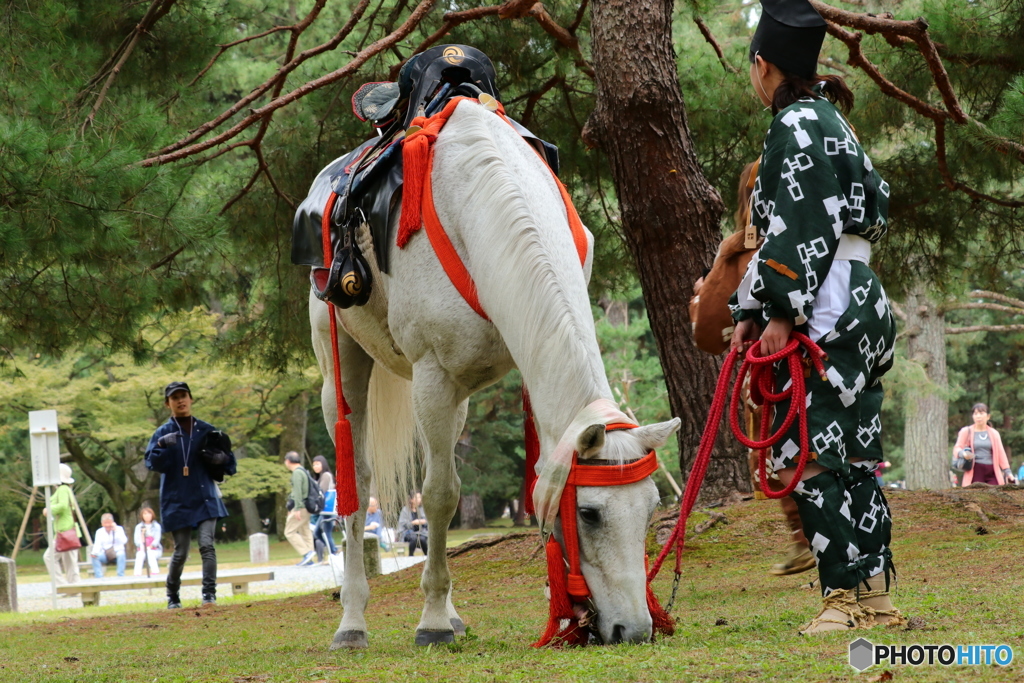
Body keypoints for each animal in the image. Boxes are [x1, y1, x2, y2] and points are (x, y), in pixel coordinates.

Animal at [311, 98, 679, 651]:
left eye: (653, 506)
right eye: (589, 513)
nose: (634, 630)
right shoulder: (432, 374)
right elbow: (440, 495)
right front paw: (432, 622)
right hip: (341, 359)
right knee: (358, 482)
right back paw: (353, 622)